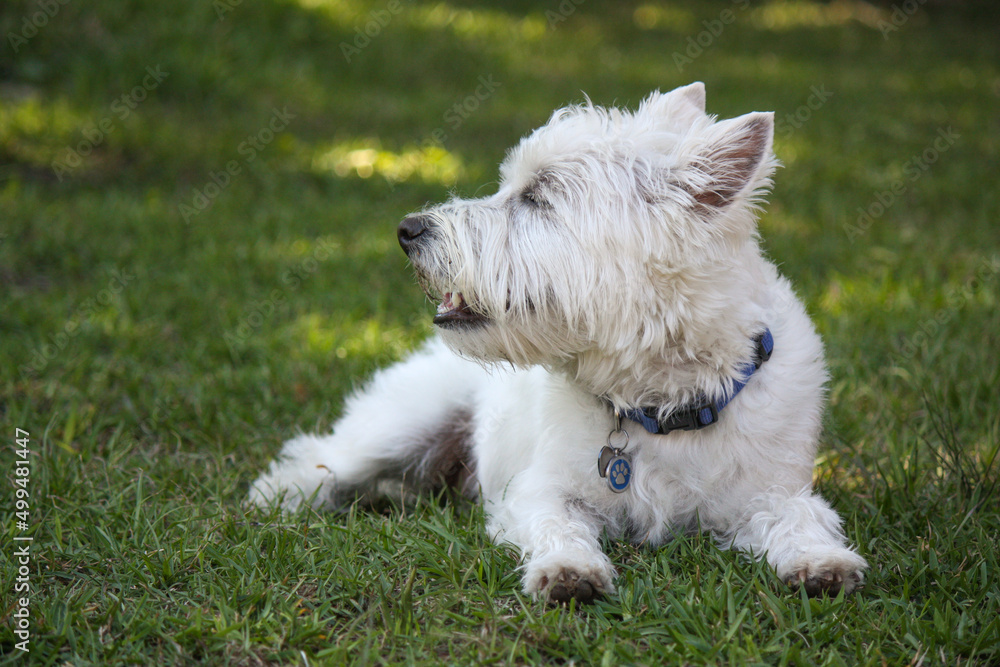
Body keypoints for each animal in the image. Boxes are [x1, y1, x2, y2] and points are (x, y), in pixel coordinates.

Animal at [252, 82, 868, 600]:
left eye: (538, 196)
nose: (407, 230)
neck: (662, 401)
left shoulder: (774, 489)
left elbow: (799, 518)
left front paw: (822, 563)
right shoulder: (539, 488)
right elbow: (558, 524)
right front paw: (569, 571)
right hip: (405, 423)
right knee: (322, 456)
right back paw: (279, 497)